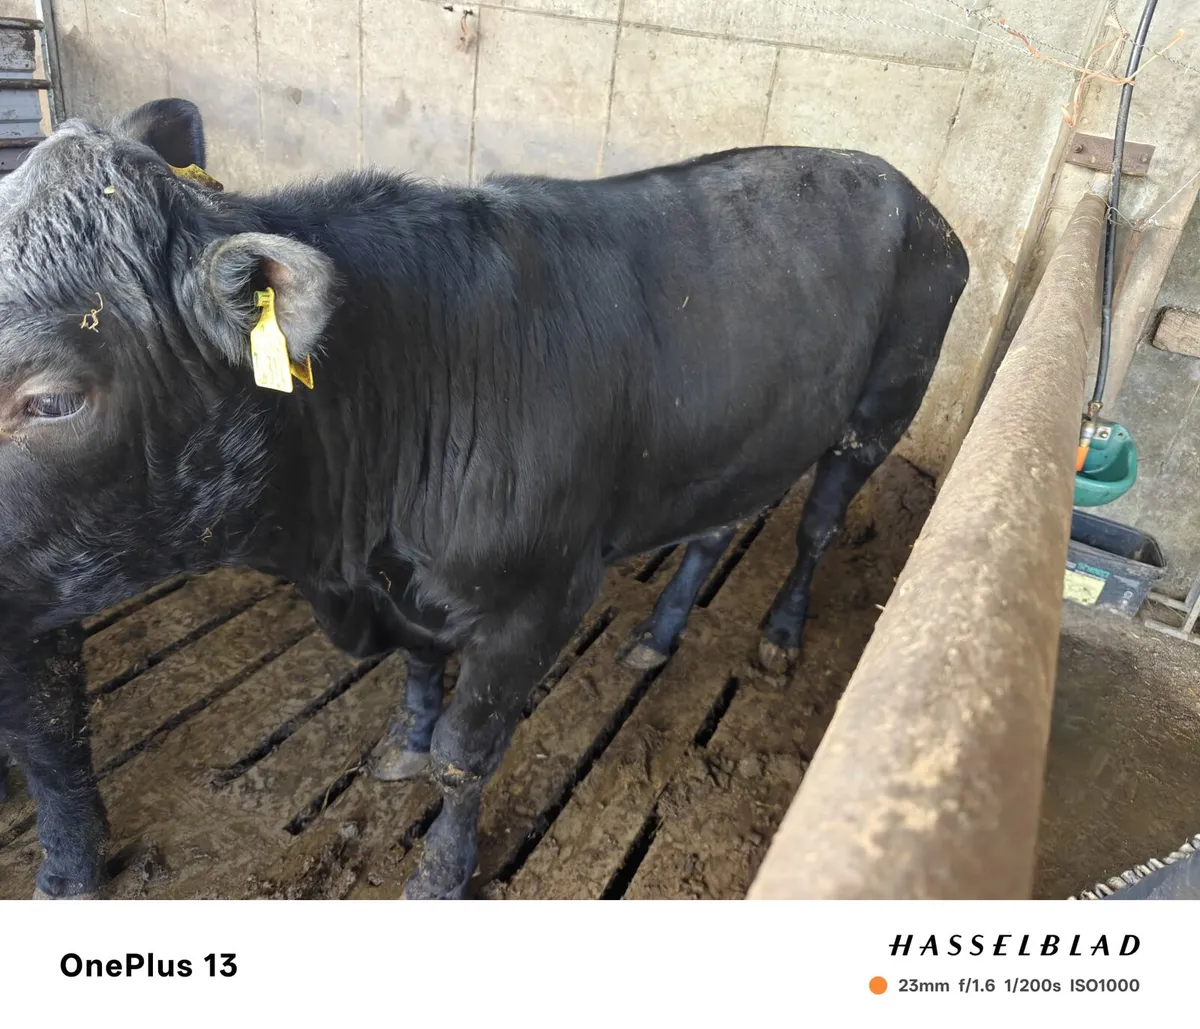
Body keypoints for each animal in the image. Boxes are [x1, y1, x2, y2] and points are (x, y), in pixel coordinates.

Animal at [0, 98, 969, 900]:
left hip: (877, 414)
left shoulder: (538, 602)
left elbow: (467, 758)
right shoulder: (404, 586)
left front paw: (441, 873)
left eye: (50, 401)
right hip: (742, 438)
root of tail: (902, 185)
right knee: (714, 528)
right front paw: (404, 745)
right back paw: (658, 638)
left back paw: (779, 635)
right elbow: (420, 668)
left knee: (817, 527)